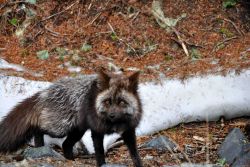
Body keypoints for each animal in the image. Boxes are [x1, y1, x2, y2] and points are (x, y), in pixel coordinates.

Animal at [0, 68, 143, 166]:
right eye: (107, 101)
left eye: (122, 102)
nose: (112, 115)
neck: (114, 124)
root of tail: (43, 93)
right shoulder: (96, 131)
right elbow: (100, 152)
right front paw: (102, 164)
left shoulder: (129, 131)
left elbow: (135, 154)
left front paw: (138, 164)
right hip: (59, 129)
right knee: (38, 129)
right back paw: (40, 146)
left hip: (77, 130)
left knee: (65, 144)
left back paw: (69, 159)